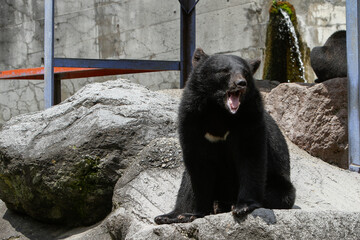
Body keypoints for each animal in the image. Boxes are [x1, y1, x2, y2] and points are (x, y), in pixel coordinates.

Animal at [155, 47, 296, 224]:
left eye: (245, 73)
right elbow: (198, 164)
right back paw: (170, 216)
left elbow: (251, 157)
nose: (241, 83)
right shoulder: (191, 120)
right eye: (224, 71)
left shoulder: (250, 119)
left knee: (279, 194)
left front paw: (243, 207)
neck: (219, 111)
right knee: (186, 183)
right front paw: (195, 212)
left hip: (278, 183)